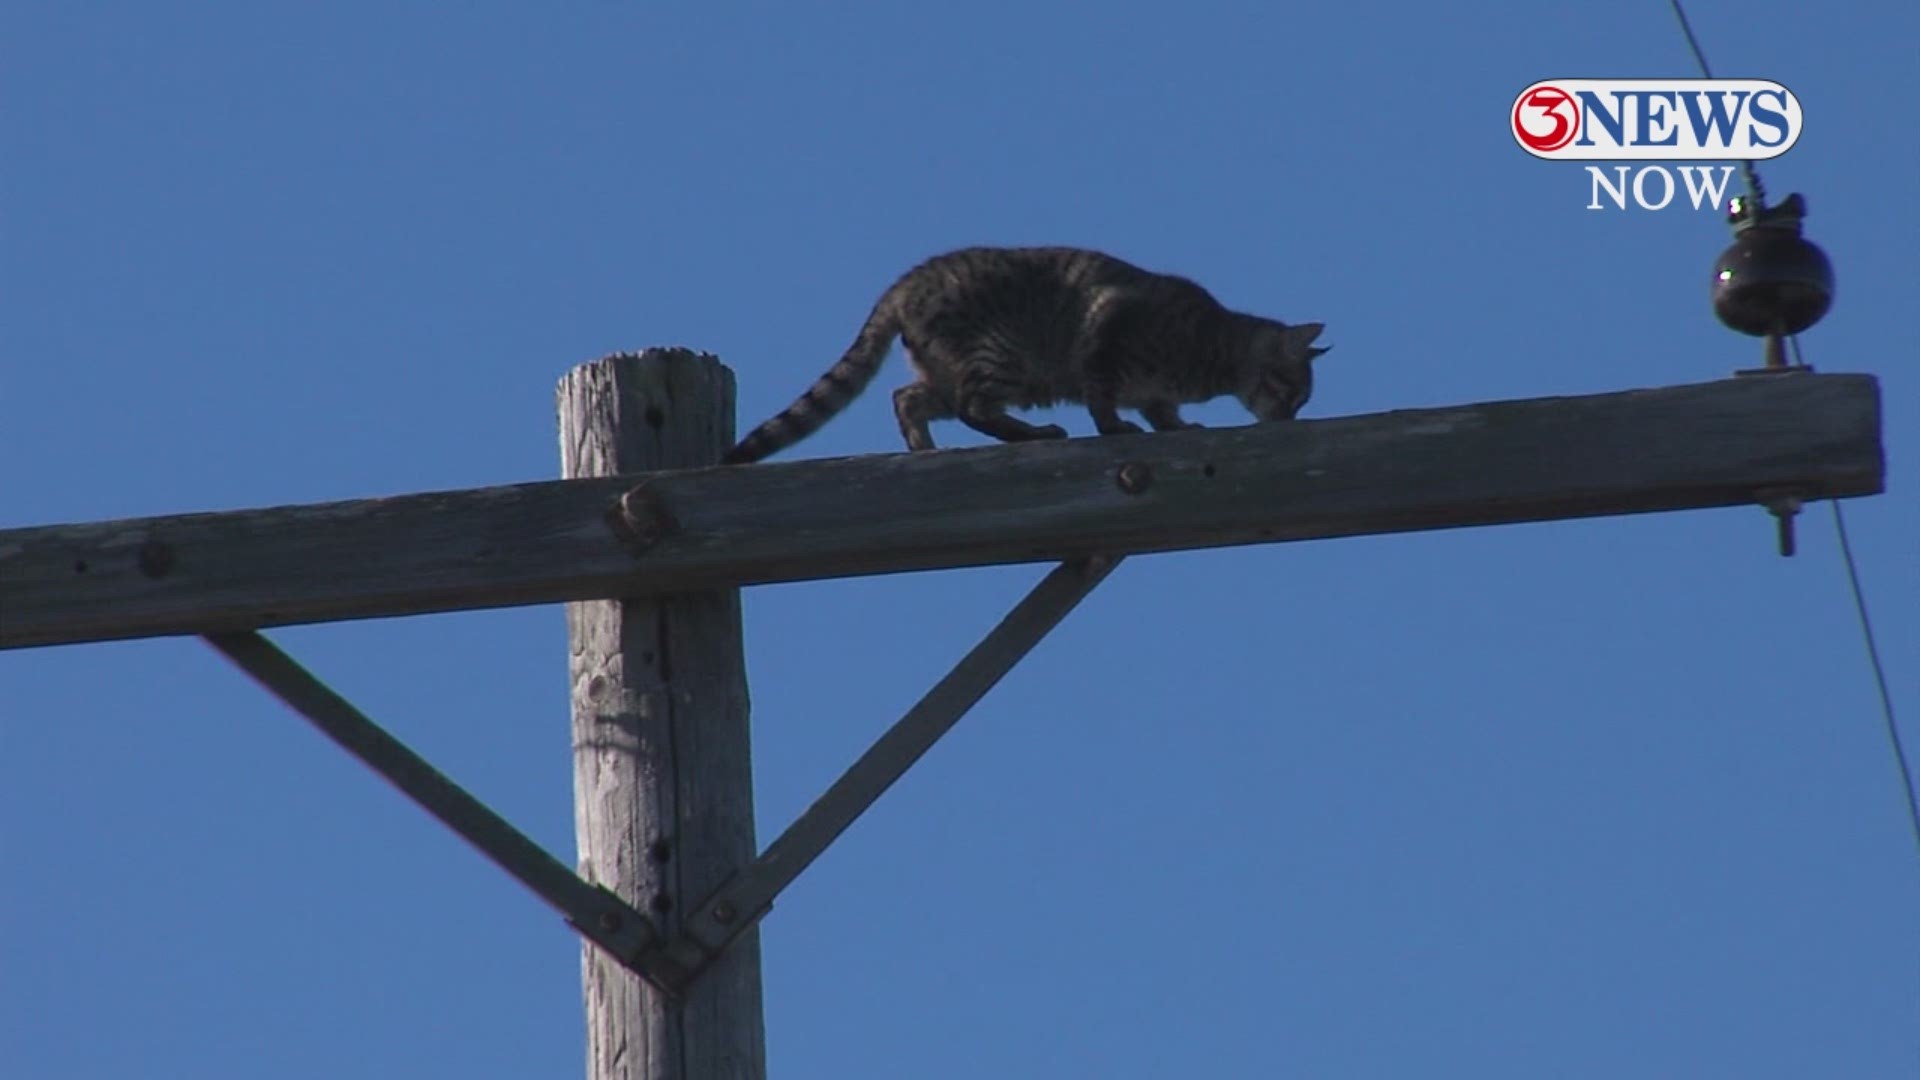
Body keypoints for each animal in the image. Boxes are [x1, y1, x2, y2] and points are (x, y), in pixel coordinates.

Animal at [714, 244, 1328, 463]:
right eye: (1292, 391)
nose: (1290, 419)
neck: (1215, 350)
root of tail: (905, 281)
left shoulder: (1155, 390)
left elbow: (1161, 411)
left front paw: (1176, 427)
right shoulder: (1108, 336)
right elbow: (1105, 400)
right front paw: (1119, 427)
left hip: (956, 370)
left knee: (908, 396)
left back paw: (924, 446)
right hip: (1000, 357)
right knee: (972, 408)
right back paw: (1033, 434)